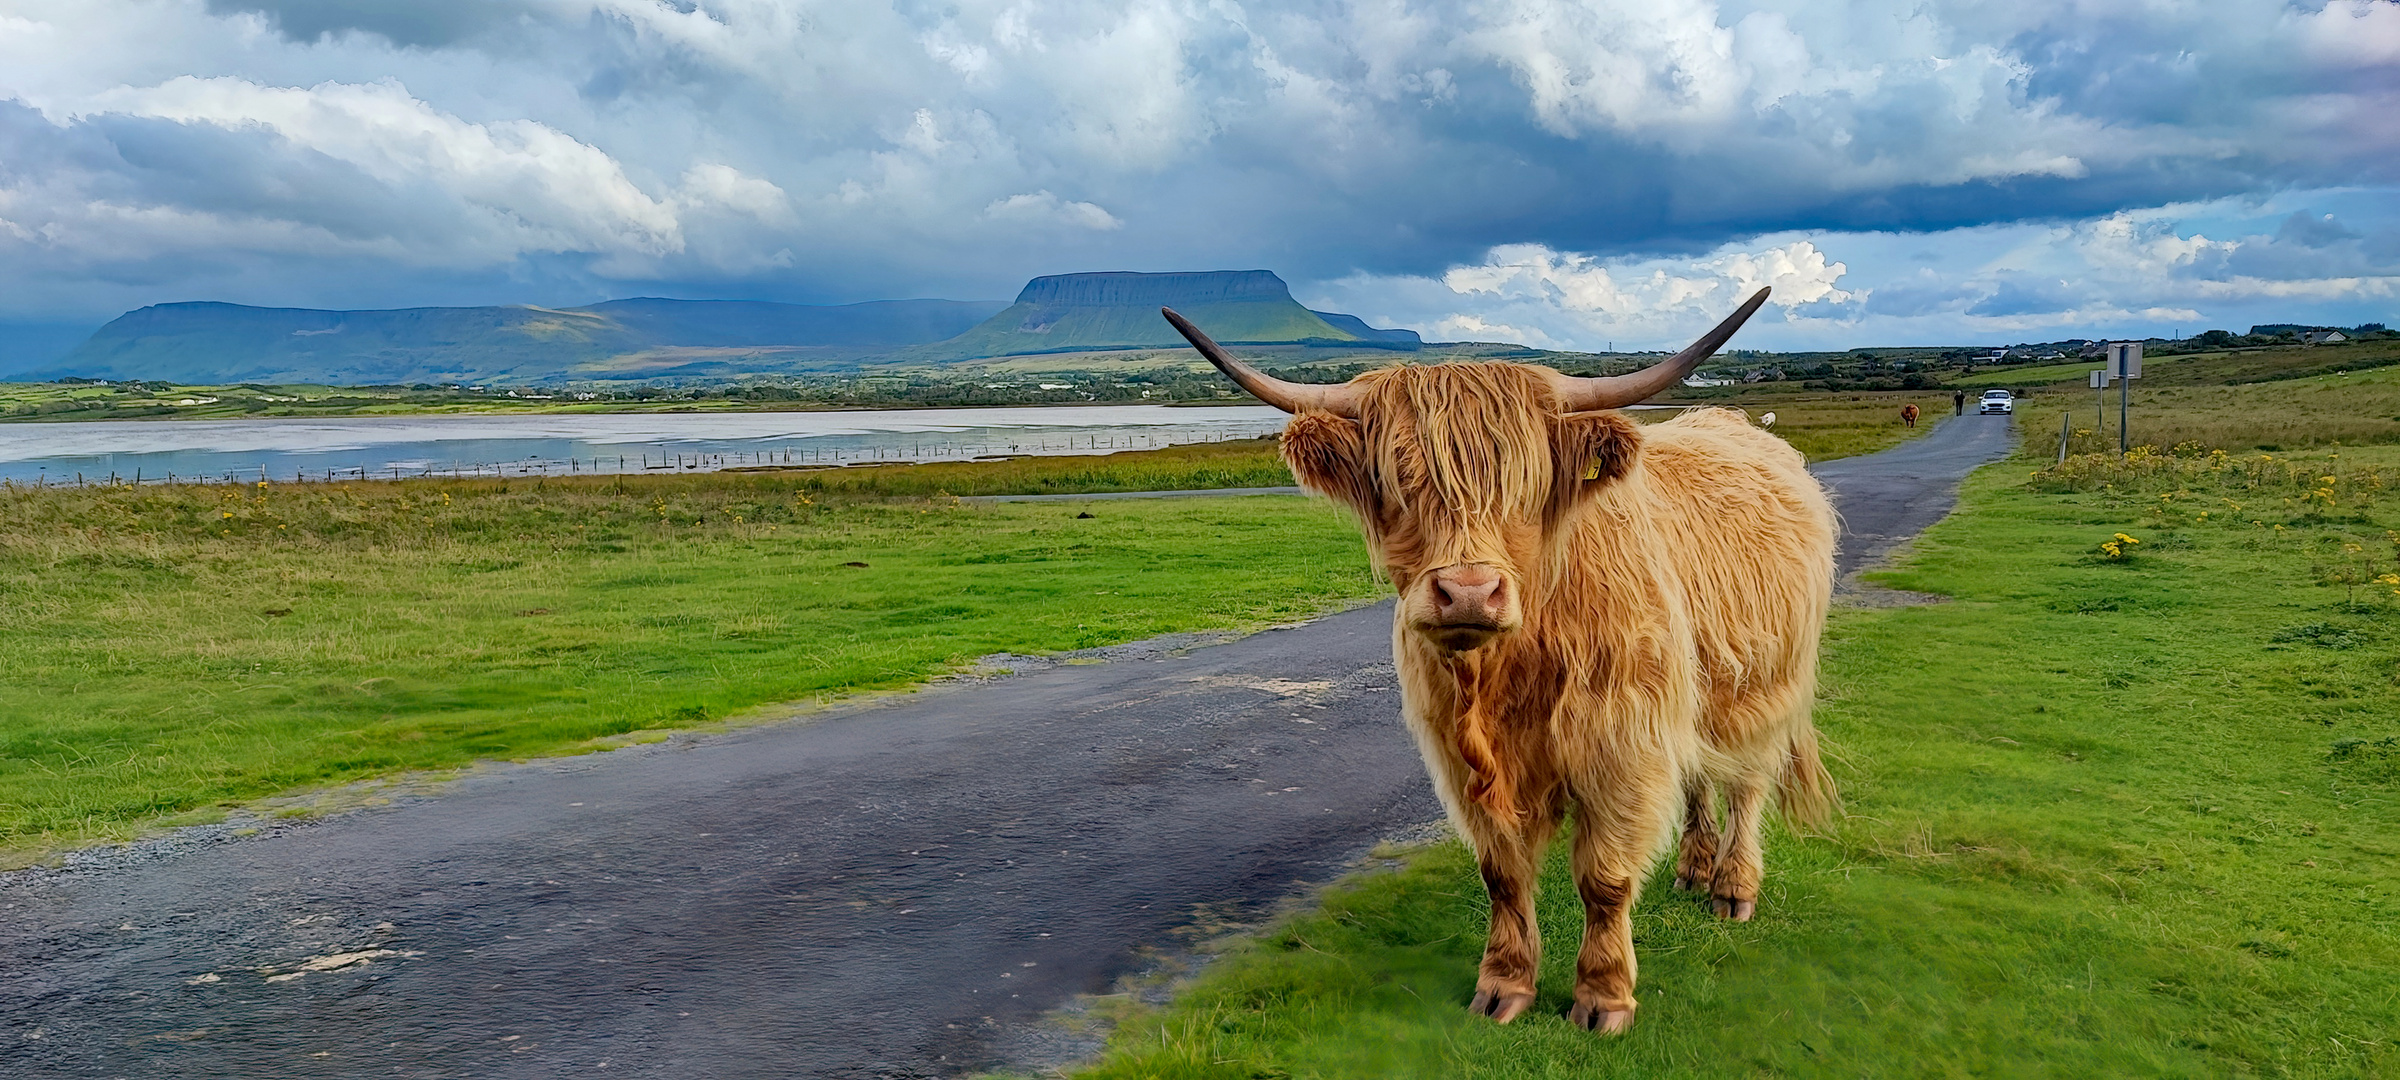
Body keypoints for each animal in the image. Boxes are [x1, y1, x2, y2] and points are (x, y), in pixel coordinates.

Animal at [1166, 291, 1833, 1032]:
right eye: (1397, 480)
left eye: (1527, 484)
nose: (1467, 592)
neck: (1507, 672)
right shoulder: (1466, 761)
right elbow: (1504, 874)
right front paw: (1504, 986)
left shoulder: (1623, 742)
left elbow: (1604, 877)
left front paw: (1603, 996)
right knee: (1699, 781)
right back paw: (1692, 868)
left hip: (1764, 687)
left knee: (1746, 782)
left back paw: (1732, 887)